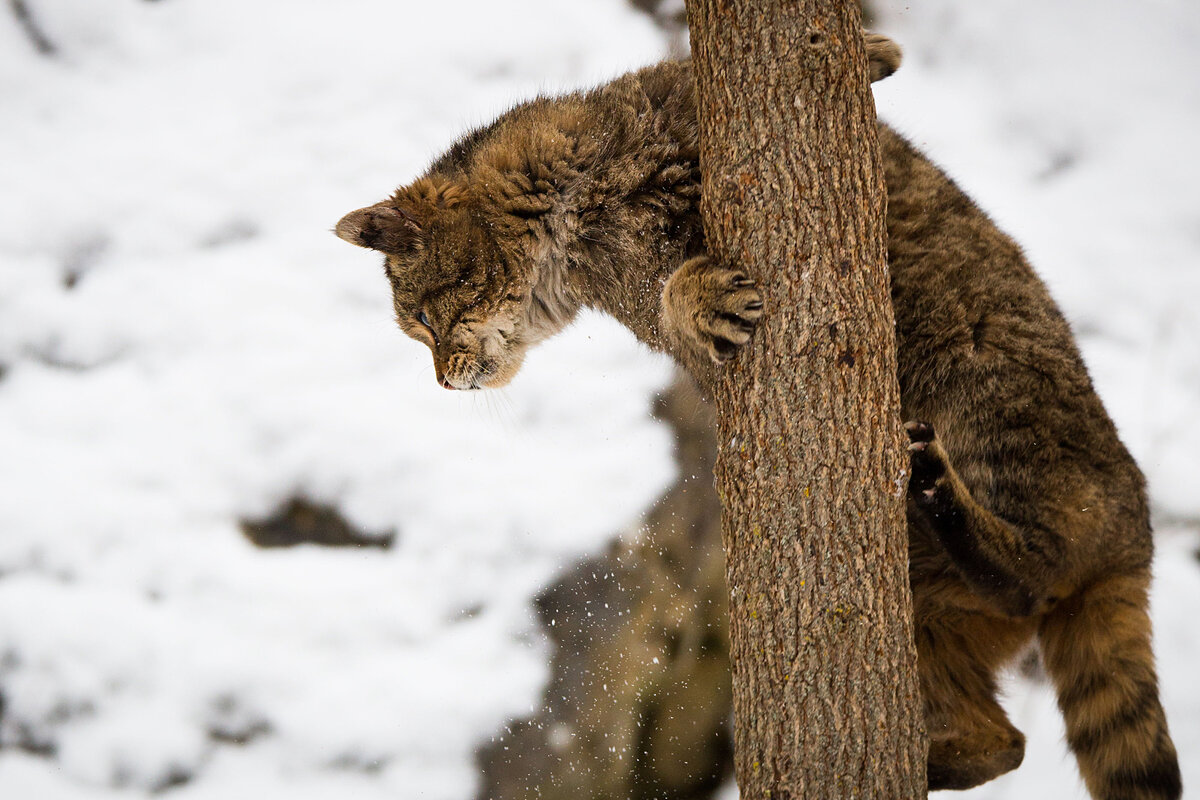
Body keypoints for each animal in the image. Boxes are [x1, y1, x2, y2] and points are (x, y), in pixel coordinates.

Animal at [336, 32, 1180, 800]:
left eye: (422, 318)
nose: (445, 384)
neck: (567, 227)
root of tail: (1133, 538)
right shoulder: (639, 297)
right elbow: (671, 299)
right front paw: (699, 298)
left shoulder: (666, 98)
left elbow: (841, 63)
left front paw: (876, 50)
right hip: (916, 602)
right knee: (1006, 725)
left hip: (995, 407)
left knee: (1039, 577)